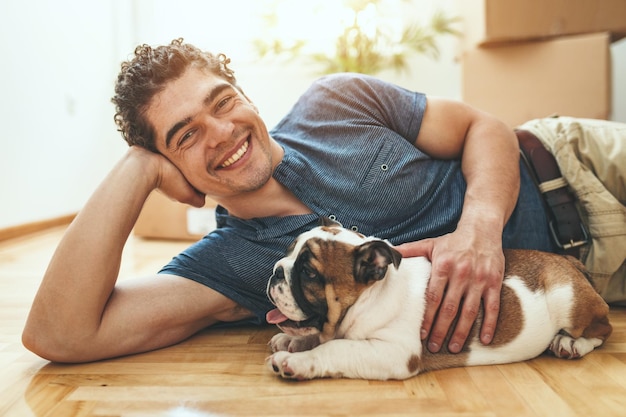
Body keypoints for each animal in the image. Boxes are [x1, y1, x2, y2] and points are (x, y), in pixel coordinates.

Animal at [264, 221, 608, 380]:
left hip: (568, 300)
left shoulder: (394, 352)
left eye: (308, 272)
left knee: (602, 329)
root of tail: (568, 261)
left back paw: (570, 343)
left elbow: (336, 348)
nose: (276, 271)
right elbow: (323, 339)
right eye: (288, 253)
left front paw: (297, 361)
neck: (370, 296)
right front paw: (293, 342)